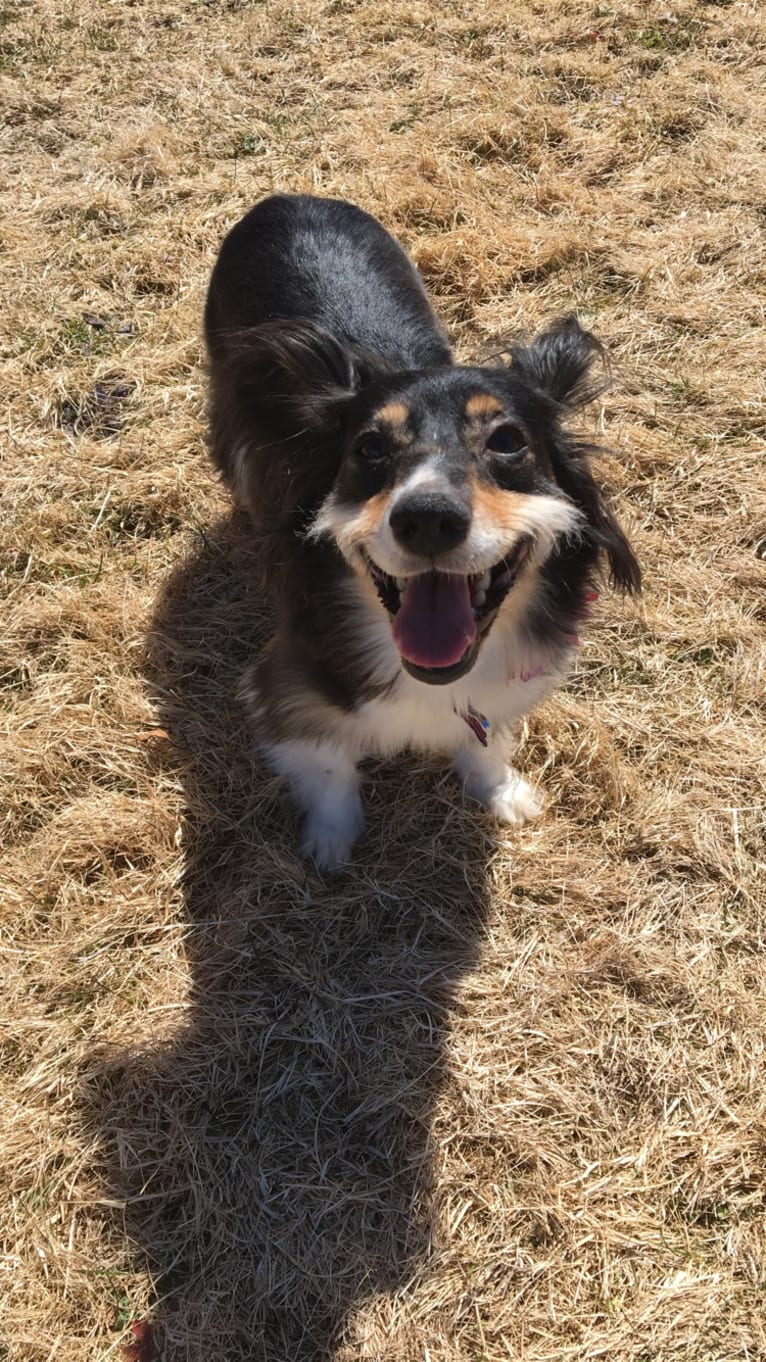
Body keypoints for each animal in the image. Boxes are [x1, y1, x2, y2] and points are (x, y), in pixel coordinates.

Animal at [204, 193, 637, 866]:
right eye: (369, 448)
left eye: (507, 441)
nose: (428, 518)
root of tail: (289, 198)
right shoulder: (291, 685)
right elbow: (329, 766)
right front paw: (331, 842)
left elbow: (486, 742)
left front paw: (501, 791)